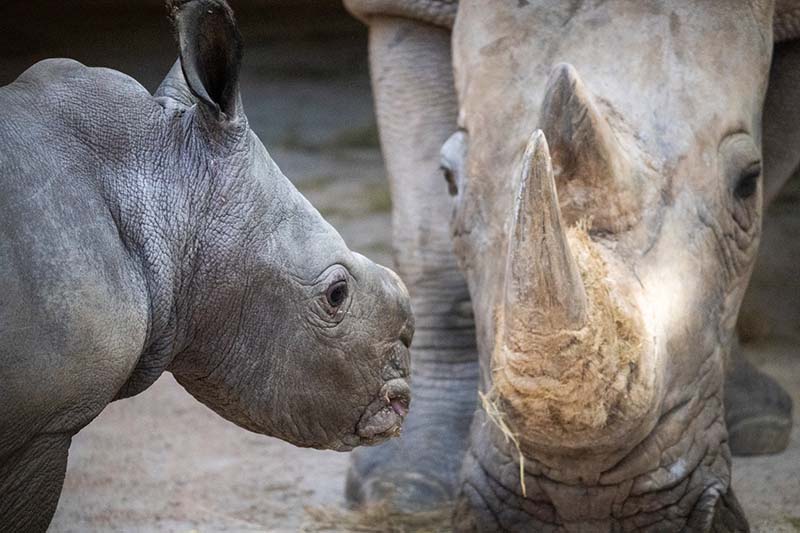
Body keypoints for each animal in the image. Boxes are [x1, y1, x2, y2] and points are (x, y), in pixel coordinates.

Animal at [342, 0, 800, 530]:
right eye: (450, 179)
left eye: (748, 183)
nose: (584, 502)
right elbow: (426, 236)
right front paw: (402, 488)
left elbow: (776, 155)